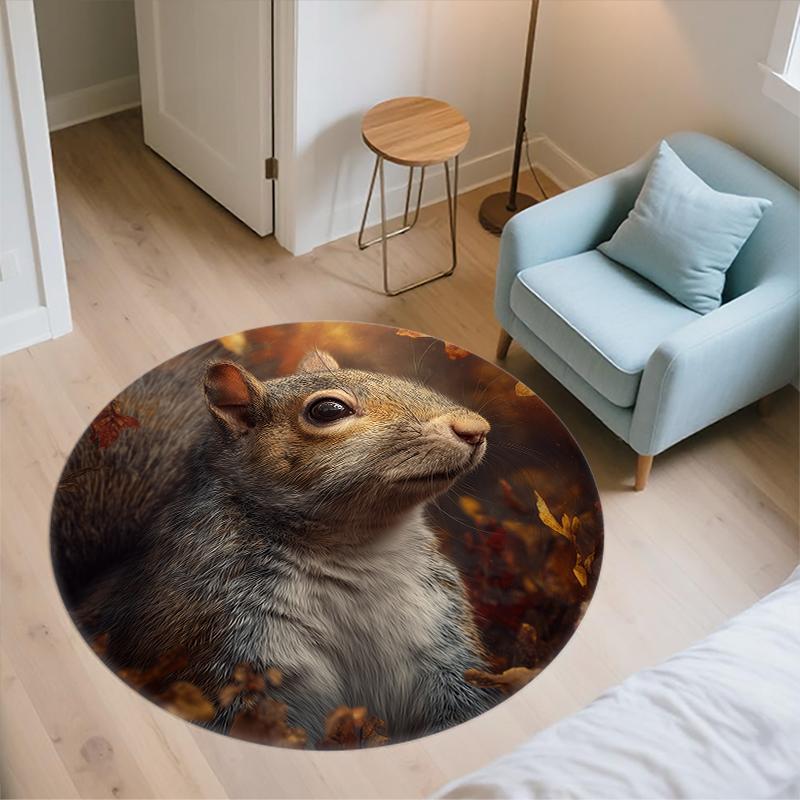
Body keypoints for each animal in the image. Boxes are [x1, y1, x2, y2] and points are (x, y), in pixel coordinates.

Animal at [52, 347, 495, 743]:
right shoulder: (224, 636)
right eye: (328, 410)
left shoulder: (439, 629)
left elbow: (463, 691)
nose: (477, 427)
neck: (356, 548)